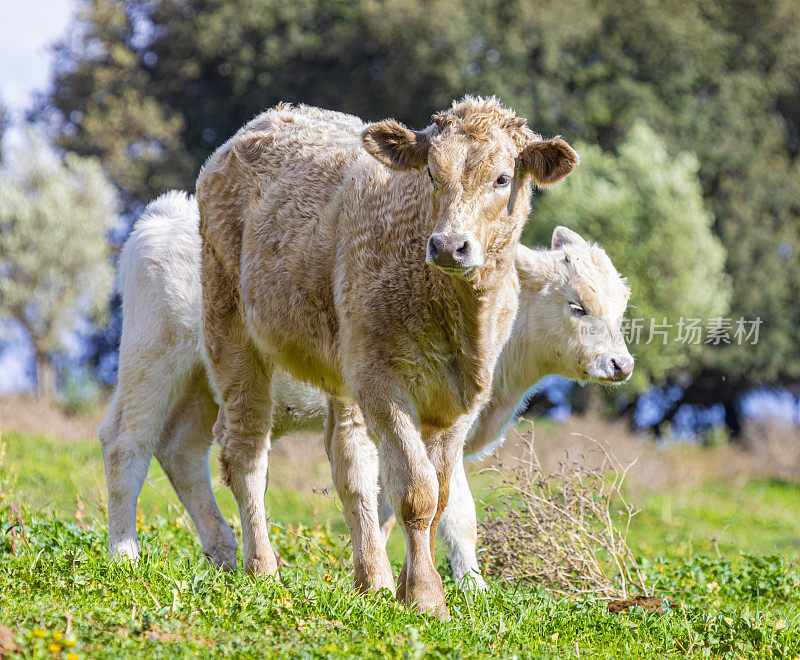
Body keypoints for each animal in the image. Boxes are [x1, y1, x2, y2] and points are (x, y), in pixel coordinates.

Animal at [194, 100, 576, 616]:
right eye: (432, 172)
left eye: (502, 178)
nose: (448, 245)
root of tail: (267, 119)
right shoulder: (384, 383)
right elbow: (416, 492)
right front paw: (425, 597)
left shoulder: (457, 402)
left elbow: (440, 495)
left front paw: (406, 586)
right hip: (231, 328)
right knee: (246, 450)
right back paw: (262, 568)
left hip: (345, 364)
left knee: (350, 463)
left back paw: (371, 579)